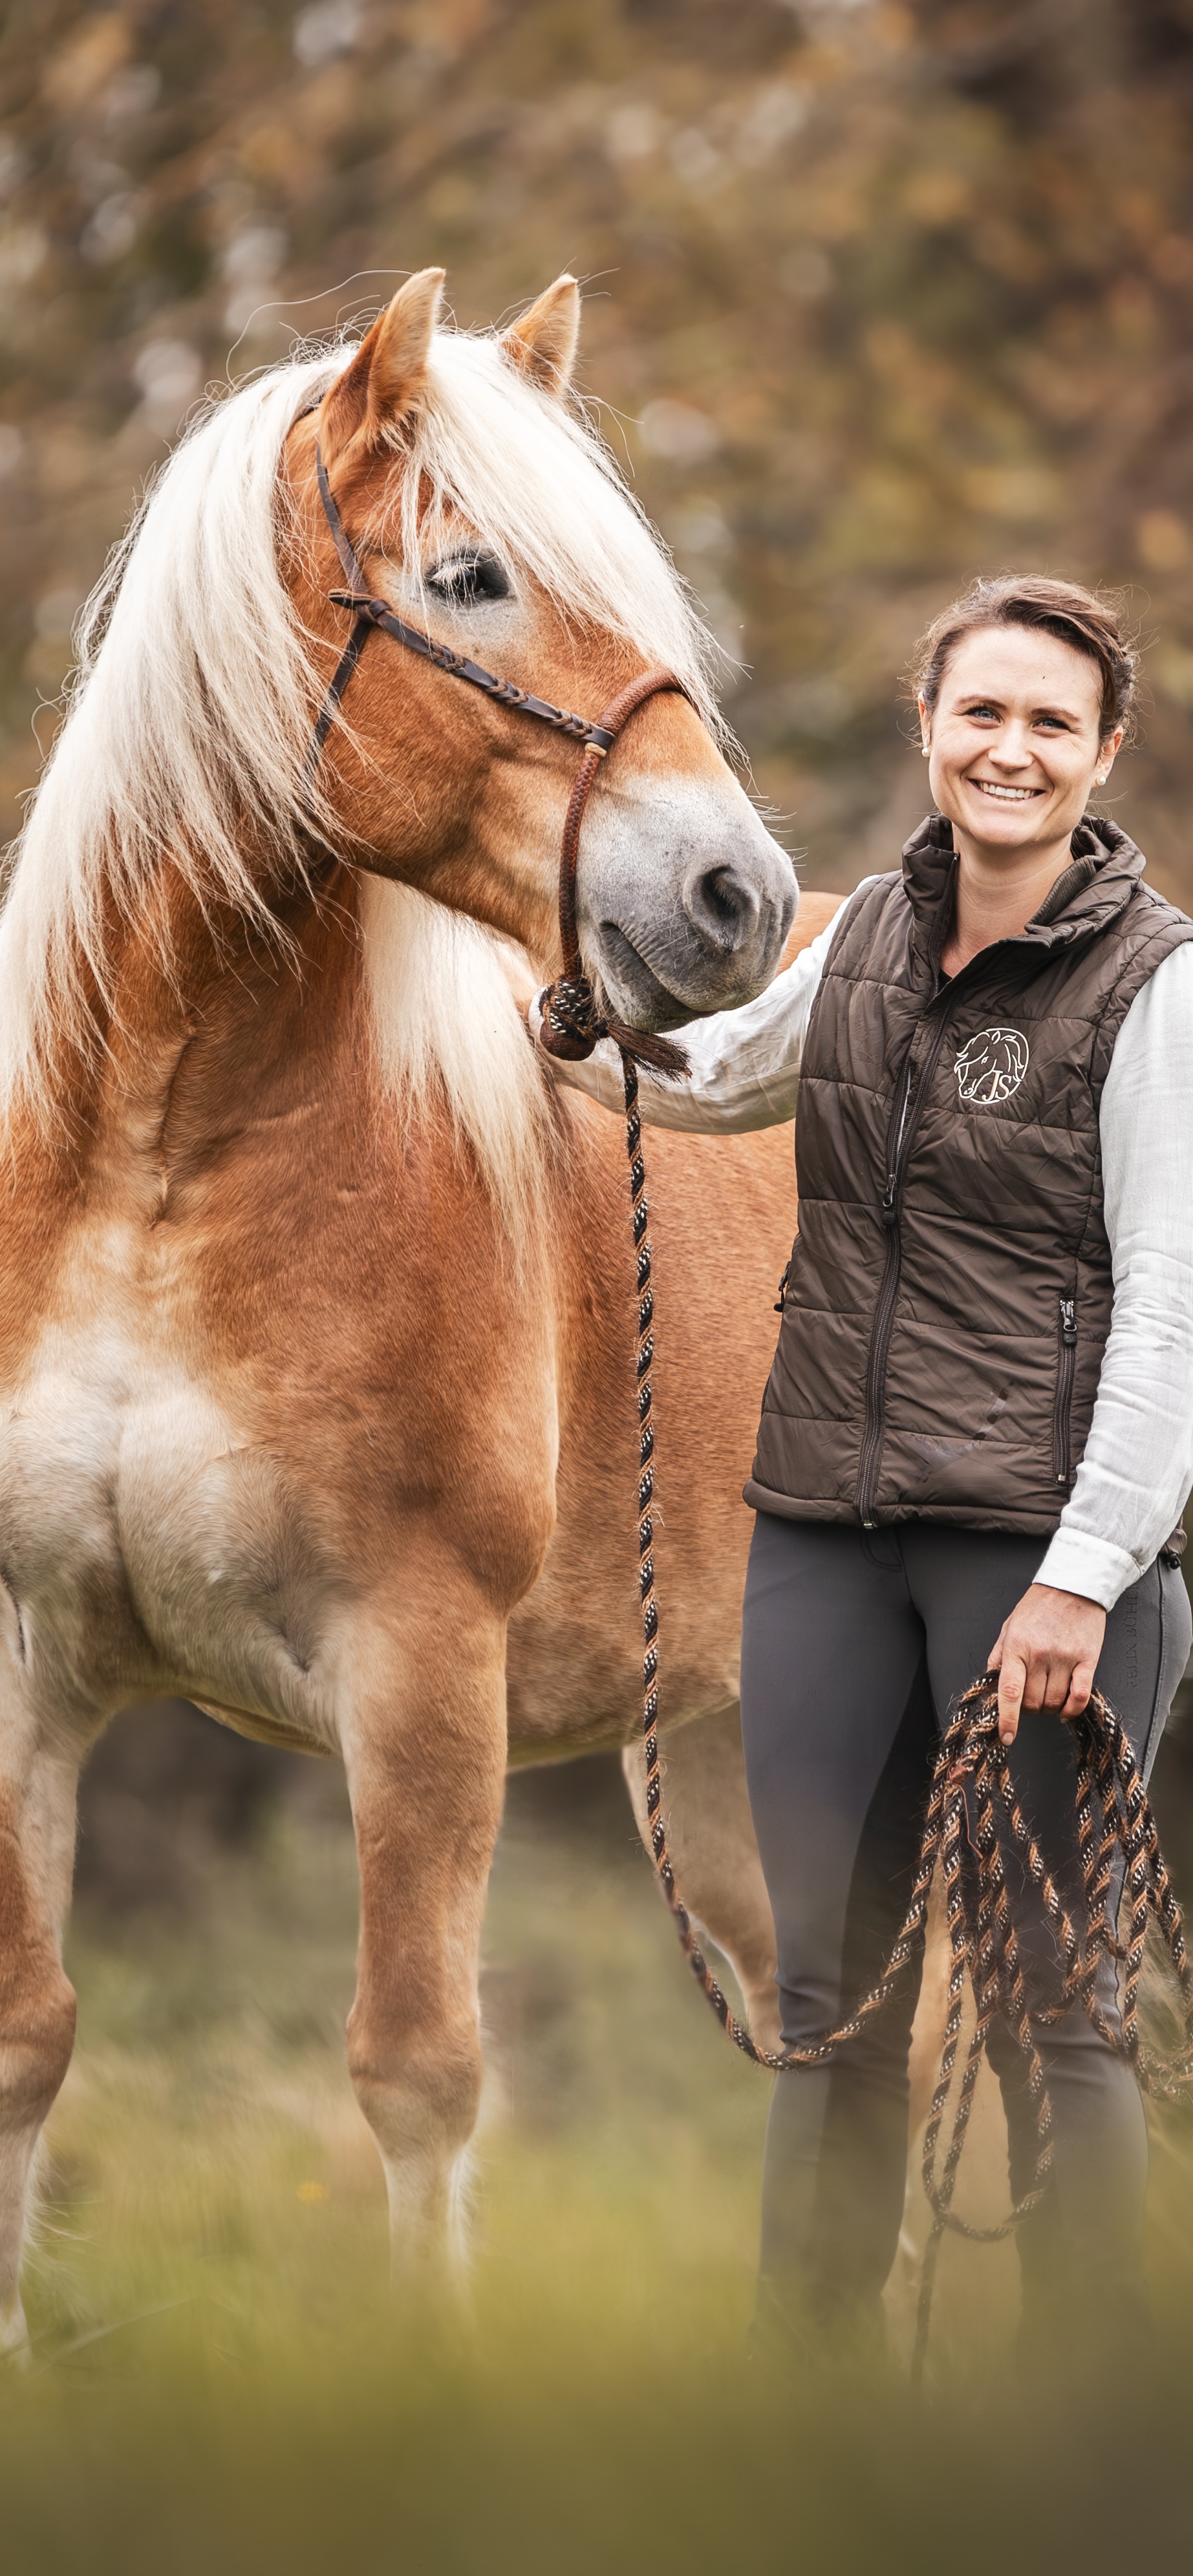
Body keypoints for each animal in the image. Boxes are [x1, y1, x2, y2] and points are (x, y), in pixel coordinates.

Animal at [0, 266, 831, 2351]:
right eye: (468, 578)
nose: (735, 895)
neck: (156, 1171)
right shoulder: (21, 1666)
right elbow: (28, 2039)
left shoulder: (420, 1666)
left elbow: (417, 2073)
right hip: (731, 1762)